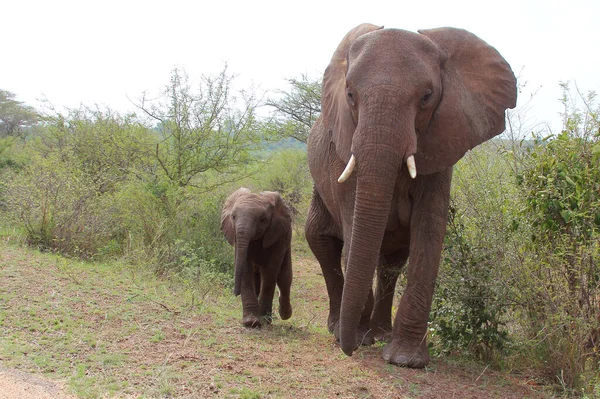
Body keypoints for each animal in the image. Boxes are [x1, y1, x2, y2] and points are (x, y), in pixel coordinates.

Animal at [304, 24, 516, 368]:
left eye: (427, 96)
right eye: (350, 95)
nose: (350, 349)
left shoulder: (442, 141)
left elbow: (429, 232)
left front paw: (406, 359)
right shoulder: (343, 149)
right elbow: (353, 229)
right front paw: (359, 338)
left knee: (392, 260)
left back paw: (379, 335)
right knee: (322, 241)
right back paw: (342, 329)